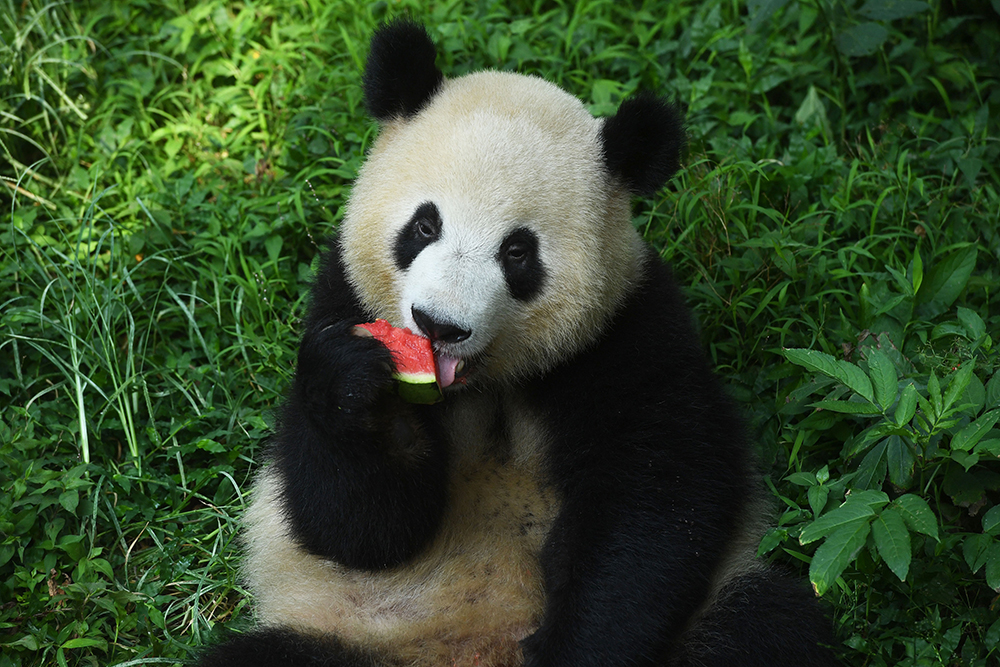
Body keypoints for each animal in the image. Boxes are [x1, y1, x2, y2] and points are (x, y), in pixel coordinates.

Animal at [201, 19, 836, 667]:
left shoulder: (629, 331)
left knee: (760, 623)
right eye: (424, 226)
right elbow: (358, 528)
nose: (438, 325)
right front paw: (355, 383)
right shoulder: (343, 295)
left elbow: (655, 507)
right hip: (358, 636)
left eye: (517, 252)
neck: (489, 379)